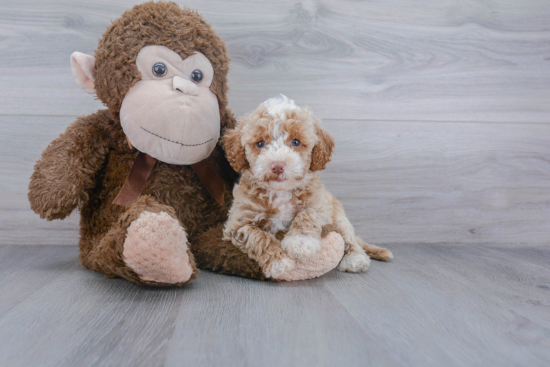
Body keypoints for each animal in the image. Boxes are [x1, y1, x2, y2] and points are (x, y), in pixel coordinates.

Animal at [222, 95, 394, 278]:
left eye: (296, 142)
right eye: (260, 144)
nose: (277, 165)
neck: (281, 192)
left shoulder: (320, 208)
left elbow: (307, 213)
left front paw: (301, 242)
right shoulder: (238, 223)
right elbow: (257, 236)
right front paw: (279, 263)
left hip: (338, 216)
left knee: (349, 238)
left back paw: (355, 259)